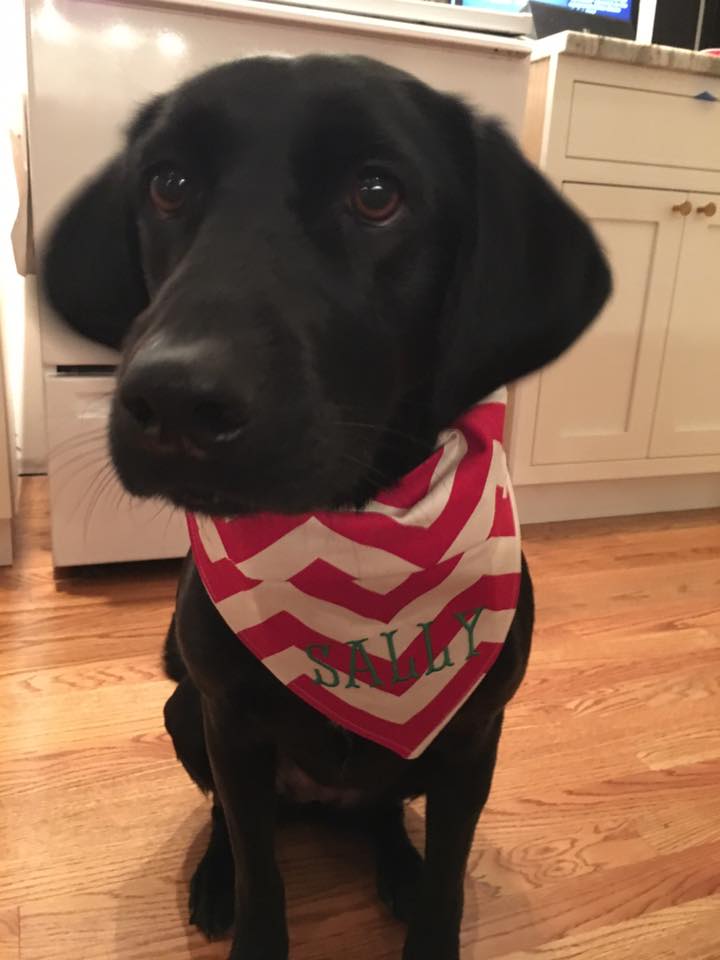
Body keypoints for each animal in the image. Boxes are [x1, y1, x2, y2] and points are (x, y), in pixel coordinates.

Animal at [43, 55, 610, 960]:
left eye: (377, 193)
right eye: (167, 183)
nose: (173, 399)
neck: (357, 531)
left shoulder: (472, 740)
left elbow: (450, 880)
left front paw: (428, 908)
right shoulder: (230, 725)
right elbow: (260, 868)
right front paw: (243, 905)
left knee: (383, 817)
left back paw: (398, 869)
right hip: (185, 713)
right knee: (230, 821)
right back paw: (215, 879)